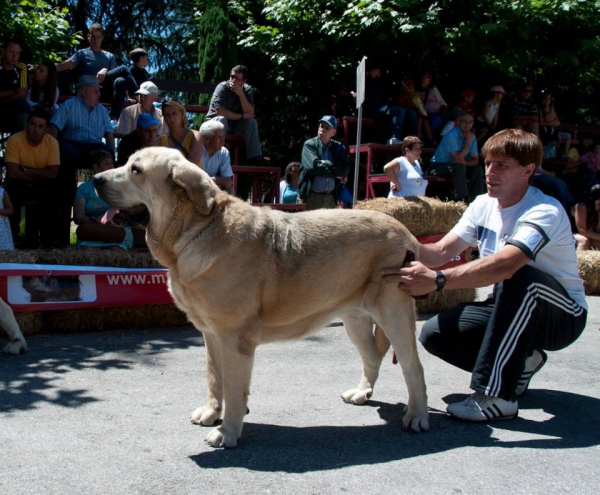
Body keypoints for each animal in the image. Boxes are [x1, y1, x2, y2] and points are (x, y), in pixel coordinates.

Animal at [95, 147, 426, 450]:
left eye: (135, 170)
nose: (96, 179)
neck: (194, 231)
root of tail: (406, 232)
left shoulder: (234, 338)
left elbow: (233, 388)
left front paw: (227, 431)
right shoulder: (211, 335)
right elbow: (214, 379)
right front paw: (212, 413)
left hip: (394, 315)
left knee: (413, 367)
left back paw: (417, 416)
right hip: (354, 320)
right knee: (372, 357)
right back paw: (362, 393)